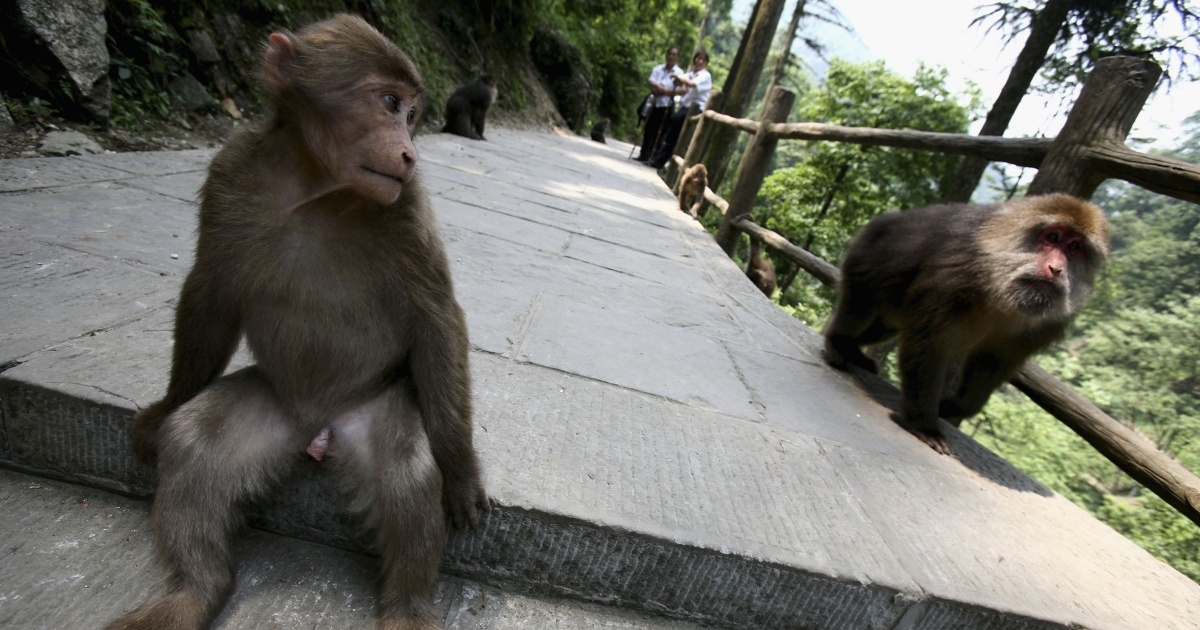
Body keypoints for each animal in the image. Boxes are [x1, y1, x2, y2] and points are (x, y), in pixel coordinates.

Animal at [104, 13, 487, 628]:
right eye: (389, 103)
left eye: (411, 114)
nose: (409, 152)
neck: (316, 190)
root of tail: (316, 426)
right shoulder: (229, 172)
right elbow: (209, 296)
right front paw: (165, 406)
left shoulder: (408, 207)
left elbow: (436, 318)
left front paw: (461, 468)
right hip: (271, 404)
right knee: (193, 444)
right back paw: (191, 593)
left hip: (372, 408)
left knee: (405, 472)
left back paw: (407, 607)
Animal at [820, 194, 1108, 453]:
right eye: (1052, 238)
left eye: (1074, 248)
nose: (1056, 269)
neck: (1002, 289)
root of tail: (885, 219)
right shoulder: (956, 276)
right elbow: (931, 342)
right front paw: (925, 425)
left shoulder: (1047, 323)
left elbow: (992, 360)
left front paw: (955, 406)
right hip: (867, 259)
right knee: (860, 307)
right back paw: (837, 340)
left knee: (883, 327)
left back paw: (853, 349)